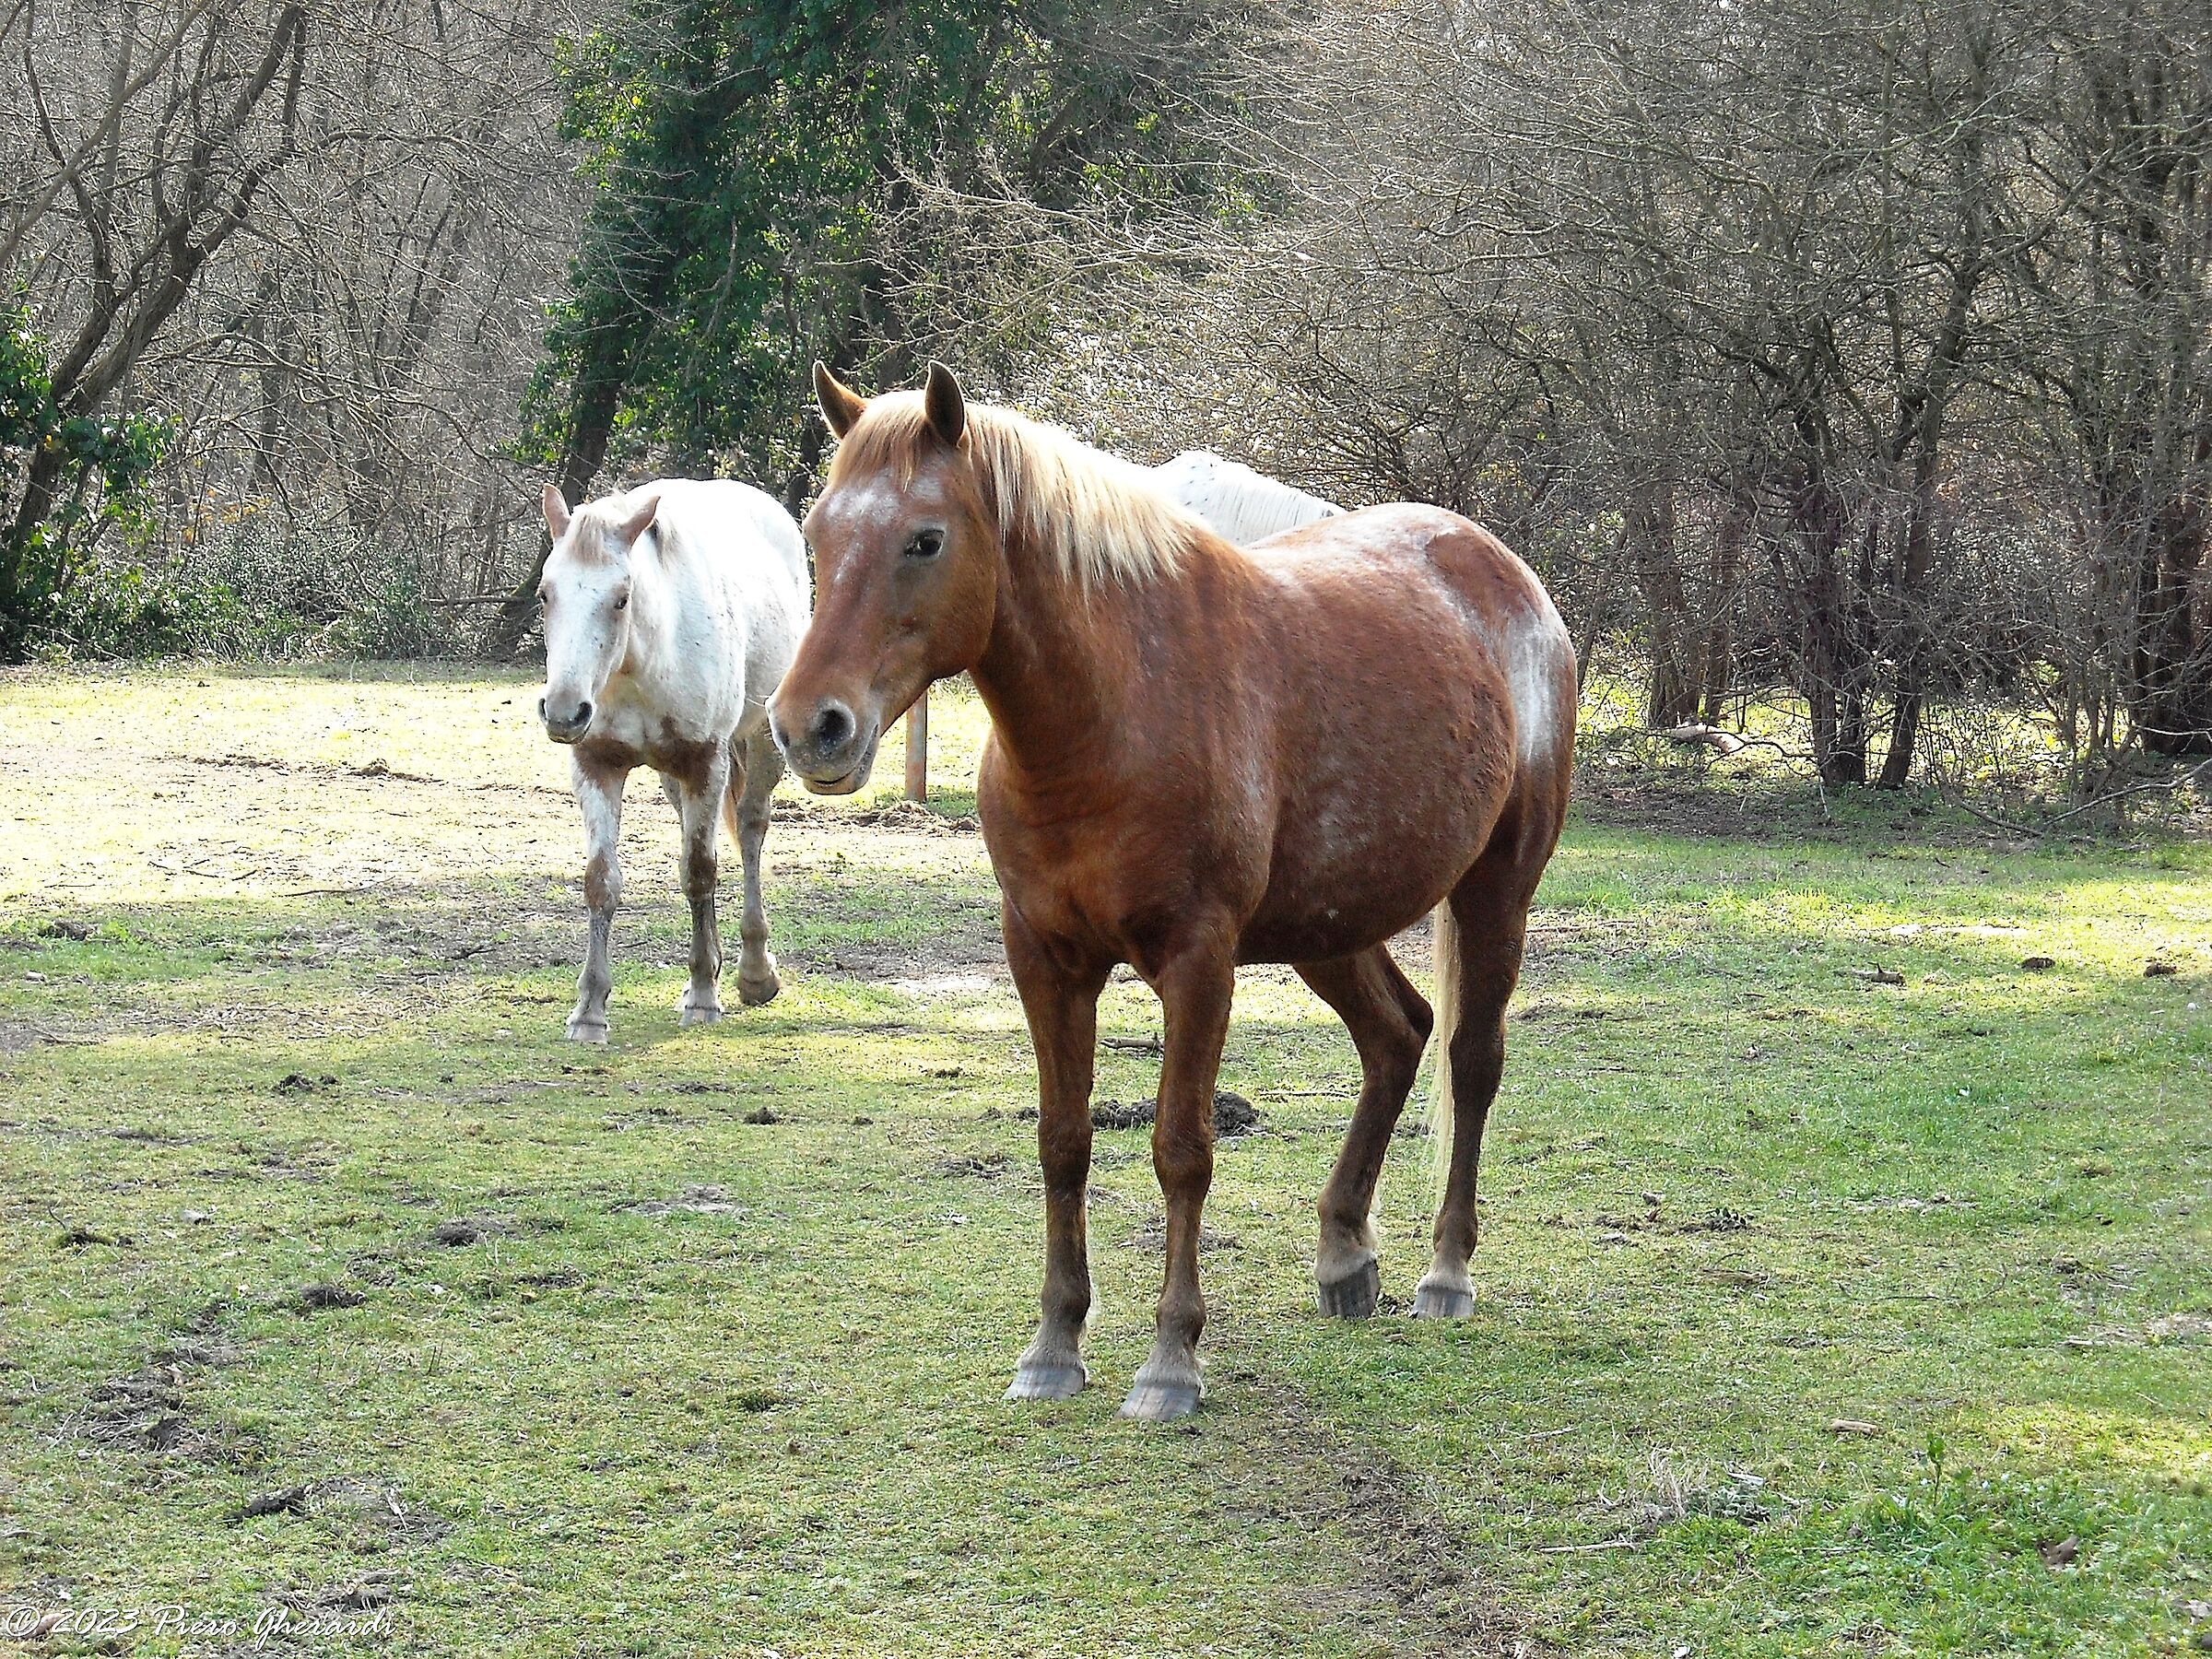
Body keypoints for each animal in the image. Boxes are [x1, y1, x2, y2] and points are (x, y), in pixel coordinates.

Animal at [536, 478, 810, 1042]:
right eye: (545, 594)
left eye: (621, 598)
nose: (564, 712)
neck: (641, 662)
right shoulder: (597, 765)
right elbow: (601, 880)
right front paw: (589, 1010)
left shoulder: (704, 762)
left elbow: (699, 872)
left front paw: (704, 998)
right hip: (671, 774)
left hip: (760, 744)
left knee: (750, 830)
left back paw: (754, 973)